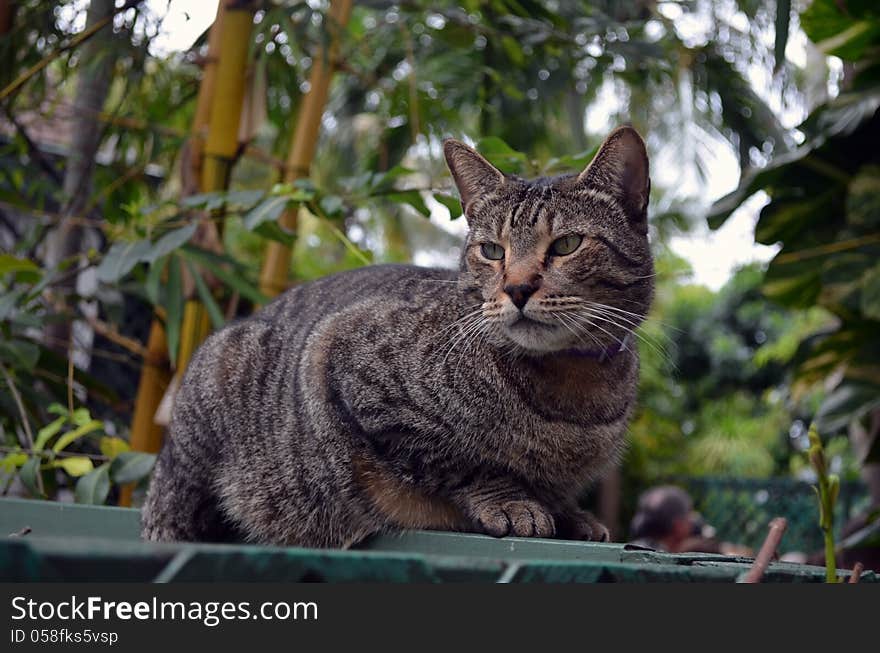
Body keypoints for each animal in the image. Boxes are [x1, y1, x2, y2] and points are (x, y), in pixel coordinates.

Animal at [141, 125, 652, 544]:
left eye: (567, 245)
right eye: (492, 251)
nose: (518, 288)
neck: (573, 389)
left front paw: (569, 513)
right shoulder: (343, 355)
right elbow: (461, 462)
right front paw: (512, 500)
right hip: (215, 392)